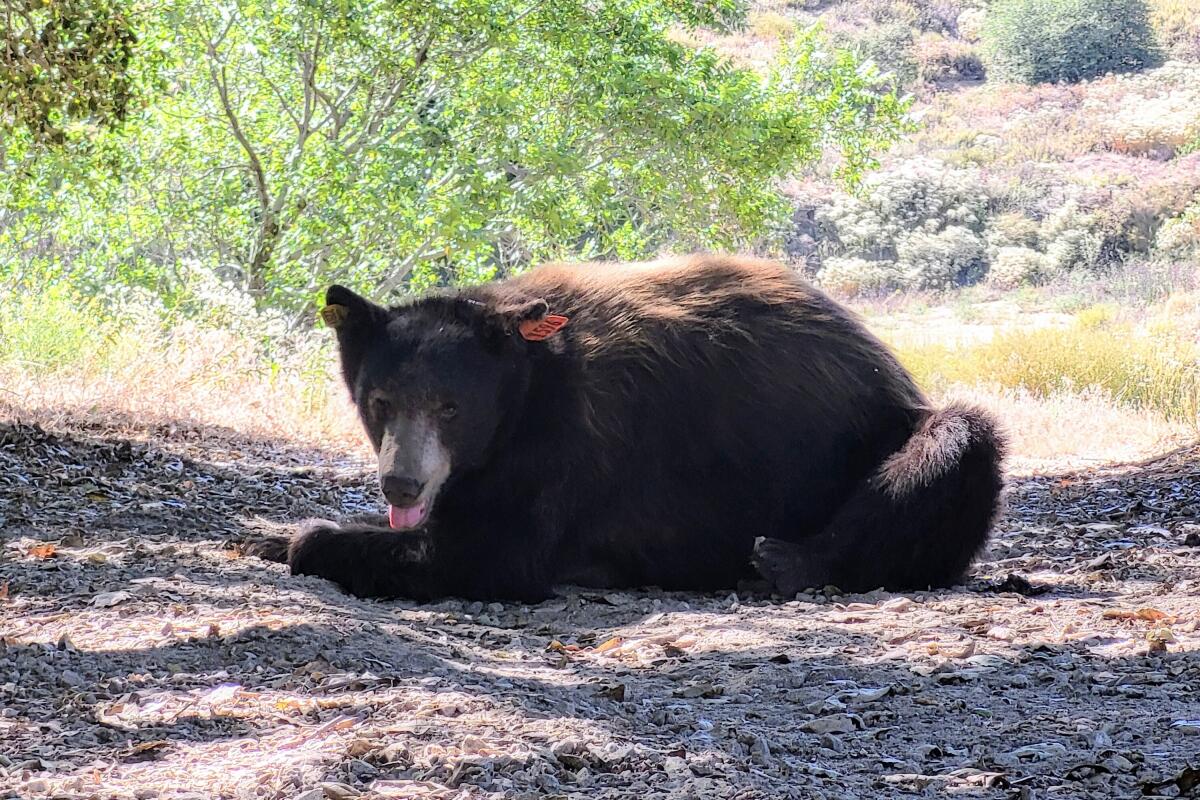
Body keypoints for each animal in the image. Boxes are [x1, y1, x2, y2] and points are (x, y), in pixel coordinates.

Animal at [253, 256, 1003, 599]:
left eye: (450, 407)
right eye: (380, 399)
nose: (402, 485)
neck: (525, 386)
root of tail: (893, 368)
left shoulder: (571, 443)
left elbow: (488, 552)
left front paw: (312, 538)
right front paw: (268, 529)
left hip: (884, 437)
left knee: (956, 443)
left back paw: (790, 559)